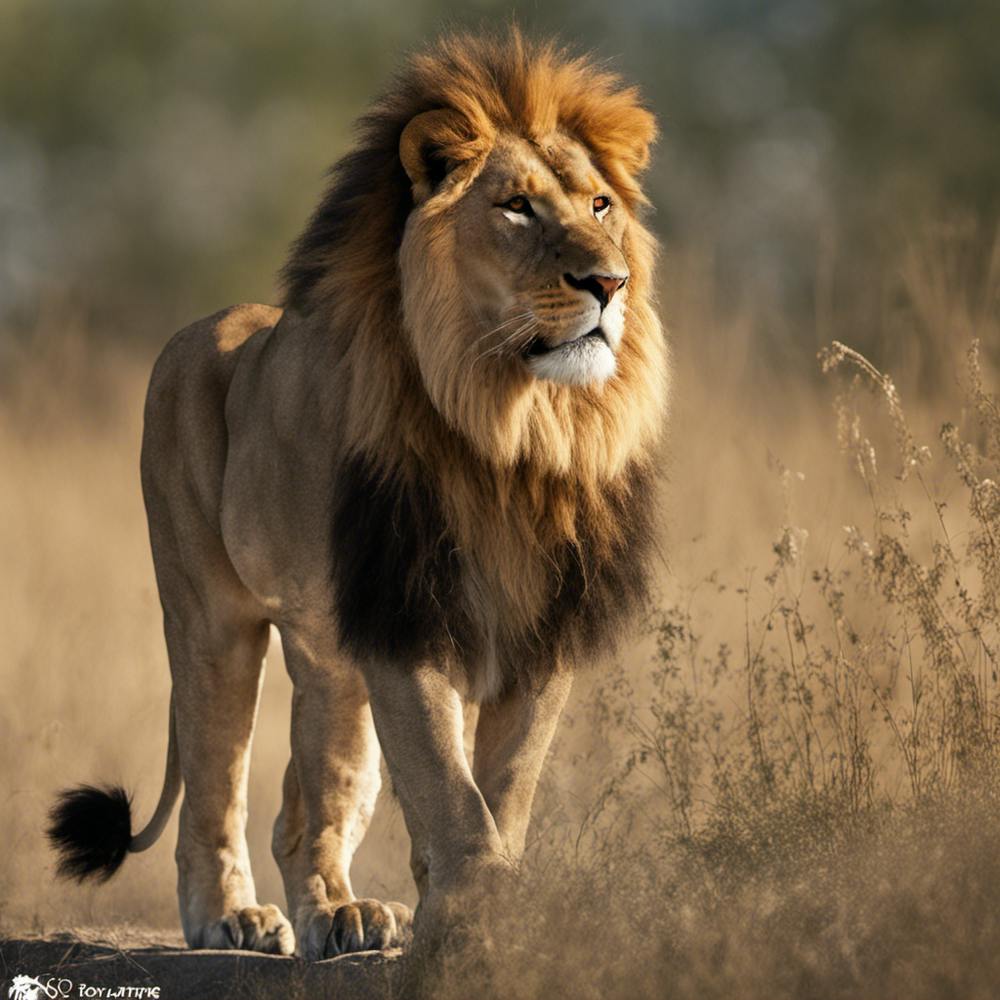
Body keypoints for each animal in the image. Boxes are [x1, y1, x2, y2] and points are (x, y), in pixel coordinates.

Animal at [47, 29, 668, 961]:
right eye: (516, 208)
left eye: (600, 205)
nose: (609, 283)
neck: (514, 427)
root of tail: (212, 324)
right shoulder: (406, 608)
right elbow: (450, 789)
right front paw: (476, 917)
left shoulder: (542, 622)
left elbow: (506, 785)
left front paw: (487, 915)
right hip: (212, 620)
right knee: (214, 779)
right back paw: (231, 916)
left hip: (329, 659)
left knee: (308, 802)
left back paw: (343, 914)